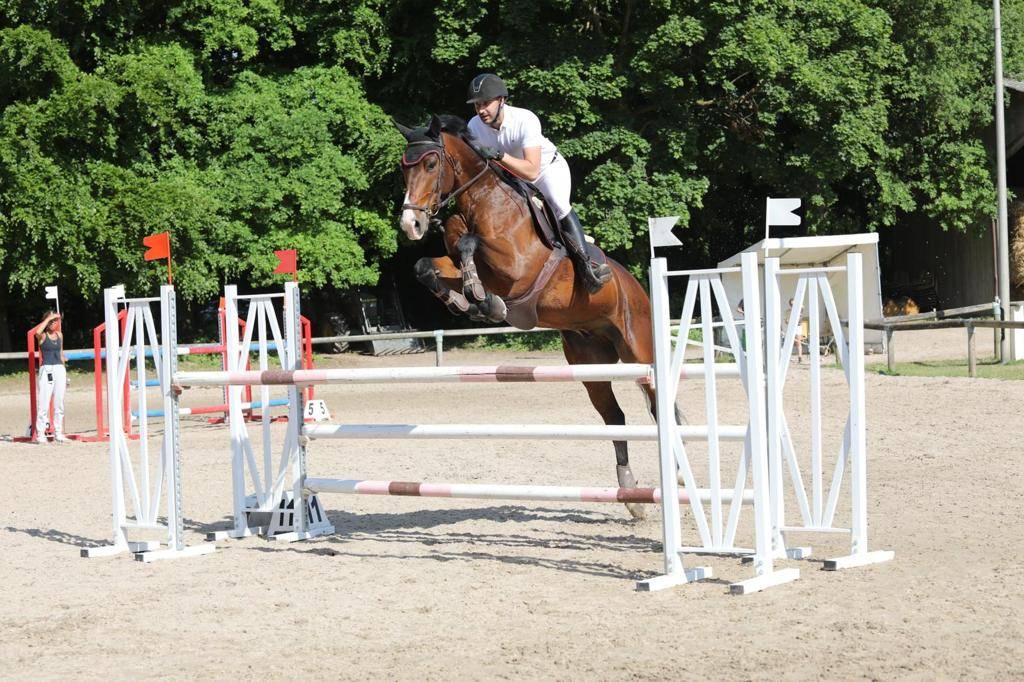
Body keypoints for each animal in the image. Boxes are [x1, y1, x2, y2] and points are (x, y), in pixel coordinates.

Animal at [395, 114, 658, 518]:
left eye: (430, 164)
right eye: (402, 168)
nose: (411, 225)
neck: (481, 202)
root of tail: (636, 286)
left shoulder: (515, 268)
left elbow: (470, 244)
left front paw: (485, 301)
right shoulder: (456, 260)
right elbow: (428, 264)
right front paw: (466, 302)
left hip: (638, 353)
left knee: (660, 407)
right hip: (589, 364)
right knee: (615, 417)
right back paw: (631, 493)